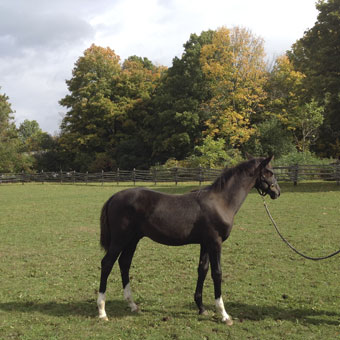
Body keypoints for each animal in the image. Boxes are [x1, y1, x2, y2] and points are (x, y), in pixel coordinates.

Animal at [97, 155, 280, 326]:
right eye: (270, 172)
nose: (277, 192)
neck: (221, 201)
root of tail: (114, 197)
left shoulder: (205, 243)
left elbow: (202, 270)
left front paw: (201, 308)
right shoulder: (215, 242)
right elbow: (217, 273)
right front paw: (224, 315)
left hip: (133, 240)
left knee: (124, 263)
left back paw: (133, 305)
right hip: (120, 240)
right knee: (107, 263)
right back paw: (102, 312)